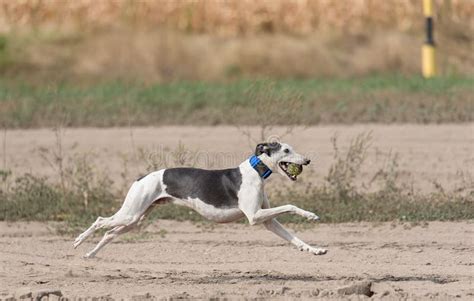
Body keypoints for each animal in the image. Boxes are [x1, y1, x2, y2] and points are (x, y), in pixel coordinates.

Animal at [74, 142, 328, 256]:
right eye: (285, 150)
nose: (307, 160)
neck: (254, 171)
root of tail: (142, 178)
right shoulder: (254, 216)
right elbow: (290, 205)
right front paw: (311, 215)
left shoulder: (267, 221)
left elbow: (292, 237)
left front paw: (314, 249)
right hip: (130, 214)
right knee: (100, 221)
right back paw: (78, 241)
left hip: (135, 219)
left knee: (109, 233)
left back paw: (91, 254)